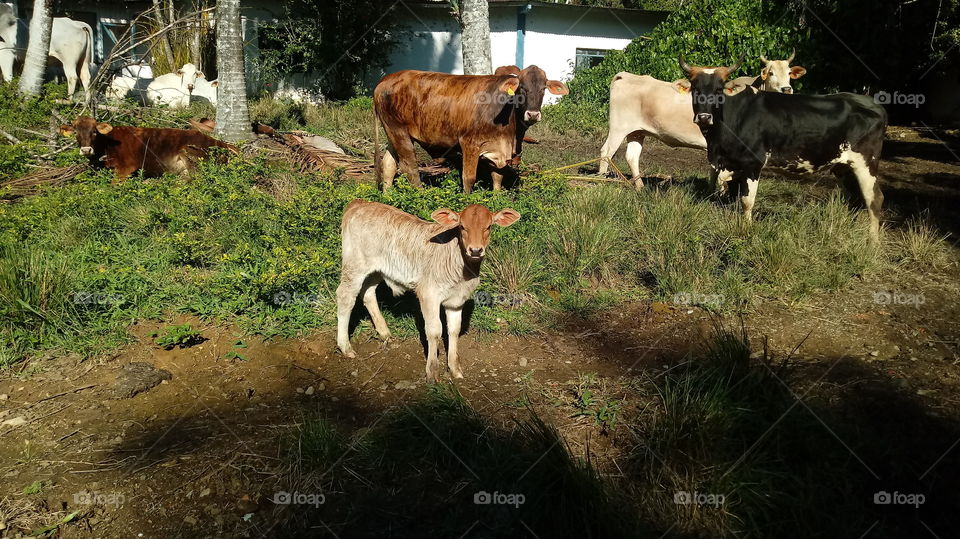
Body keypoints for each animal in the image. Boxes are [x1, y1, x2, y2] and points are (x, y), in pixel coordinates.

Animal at [59, 116, 237, 180]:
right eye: (76, 132)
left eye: (94, 132)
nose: (86, 150)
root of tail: (222, 143)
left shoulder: (127, 166)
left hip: (189, 152)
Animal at [336, 200, 520, 381]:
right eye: (462, 226)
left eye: (489, 226)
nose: (475, 250)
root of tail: (358, 203)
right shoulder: (428, 294)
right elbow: (434, 330)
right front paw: (432, 373)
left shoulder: (456, 300)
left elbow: (454, 330)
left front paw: (455, 370)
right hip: (354, 266)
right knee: (345, 296)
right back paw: (345, 347)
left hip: (376, 270)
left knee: (368, 293)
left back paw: (384, 333)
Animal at [373, 66, 568, 193]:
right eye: (522, 87)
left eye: (543, 88)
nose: (533, 114)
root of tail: (385, 79)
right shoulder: (470, 143)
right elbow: (469, 178)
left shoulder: (498, 149)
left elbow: (497, 177)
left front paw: (497, 199)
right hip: (400, 133)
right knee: (410, 168)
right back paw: (420, 195)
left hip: (392, 133)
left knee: (389, 164)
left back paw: (387, 197)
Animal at [598, 54, 805, 188]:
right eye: (770, 73)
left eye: (789, 73)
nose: (787, 89)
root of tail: (625, 75)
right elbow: (721, 175)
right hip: (618, 127)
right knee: (606, 152)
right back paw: (601, 180)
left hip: (637, 131)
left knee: (632, 156)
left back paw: (640, 187)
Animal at [677, 55, 886, 242]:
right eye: (695, 89)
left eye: (719, 89)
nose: (704, 117)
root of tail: (873, 104)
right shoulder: (731, 163)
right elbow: (729, 192)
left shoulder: (753, 163)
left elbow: (747, 201)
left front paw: (746, 229)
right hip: (843, 166)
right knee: (855, 198)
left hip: (866, 163)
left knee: (874, 198)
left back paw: (872, 242)